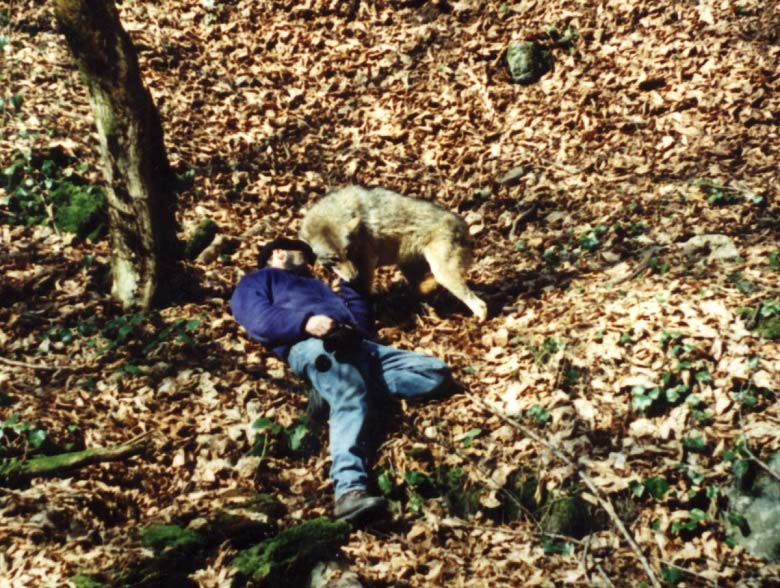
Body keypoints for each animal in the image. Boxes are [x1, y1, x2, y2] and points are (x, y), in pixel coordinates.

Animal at [298, 186, 488, 322]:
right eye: (334, 259)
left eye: (348, 252)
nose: (354, 278)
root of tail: (463, 225)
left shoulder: (367, 264)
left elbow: (364, 293)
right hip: (408, 267)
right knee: (422, 287)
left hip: (443, 274)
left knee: (480, 304)